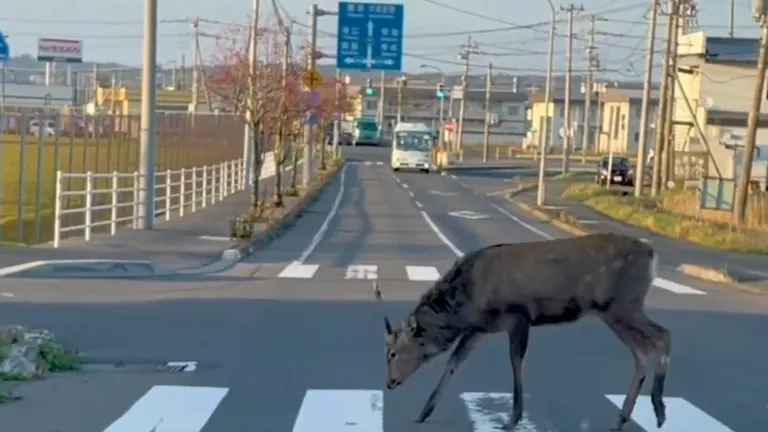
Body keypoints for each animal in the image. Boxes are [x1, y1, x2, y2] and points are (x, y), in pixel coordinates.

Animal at [376, 235, 668, 430]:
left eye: (392, 353)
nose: (390, 383)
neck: (465, 304)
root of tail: (652, 255)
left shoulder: (518, 316)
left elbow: (516, 361)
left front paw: (513, 418)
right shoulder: (479, 328)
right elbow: (454, 362)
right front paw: (423, 412)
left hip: (624, 304)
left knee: (662, 335)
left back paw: (659, 410)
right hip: (614, 312)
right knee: (643, 351)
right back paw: (622, 418)